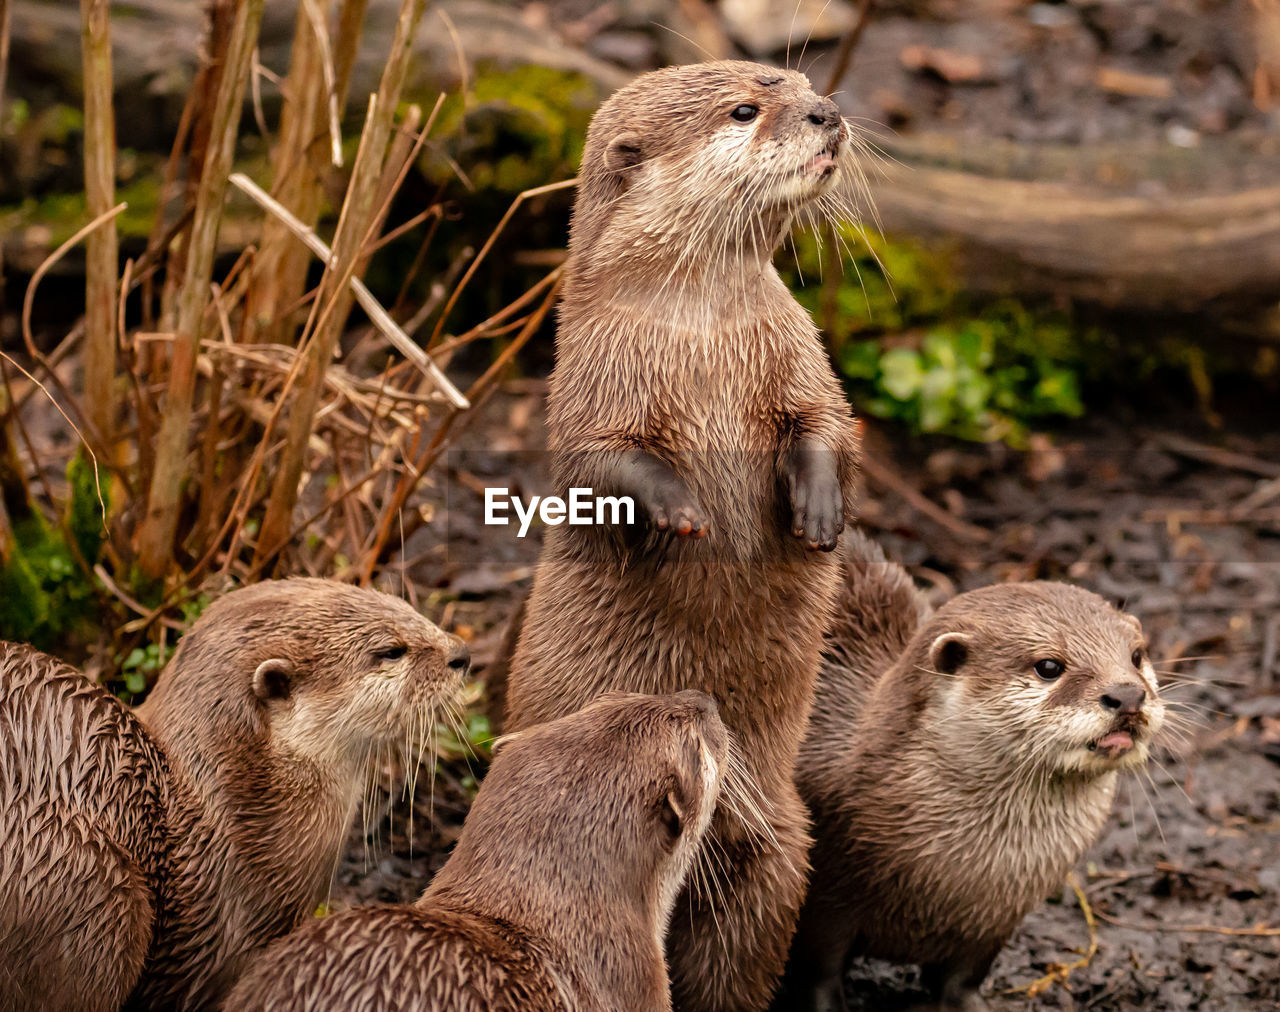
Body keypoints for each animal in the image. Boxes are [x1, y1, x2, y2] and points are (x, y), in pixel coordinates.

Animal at [503, 61, 865, 1012]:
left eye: (800, 80)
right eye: (744, 109)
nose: (828, 111)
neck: (702, 337)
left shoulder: (800, 353)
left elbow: (830, 427)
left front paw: (818, 514)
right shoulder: (590, 382)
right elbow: (603, 465)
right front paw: (681, 511)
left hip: (780, 851)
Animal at [776, 532, 1166, 1012]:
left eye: (1137, 656)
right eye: (1049, 666)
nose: (1127, 694)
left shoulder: (993, 925)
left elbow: (961, 980)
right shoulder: (824, 903)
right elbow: (819, 973)